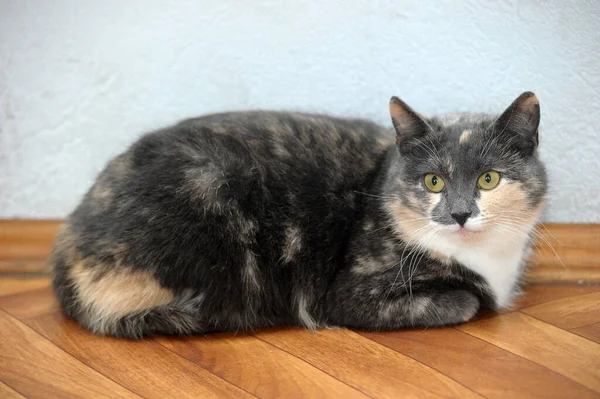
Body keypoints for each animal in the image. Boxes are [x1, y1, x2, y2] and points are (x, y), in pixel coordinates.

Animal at [51, 92, 548, 340]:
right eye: (434, 182)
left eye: (488, 179)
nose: (460, 213)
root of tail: (65, 249)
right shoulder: (350, 293)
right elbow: (464, 302)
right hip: (212, 184)